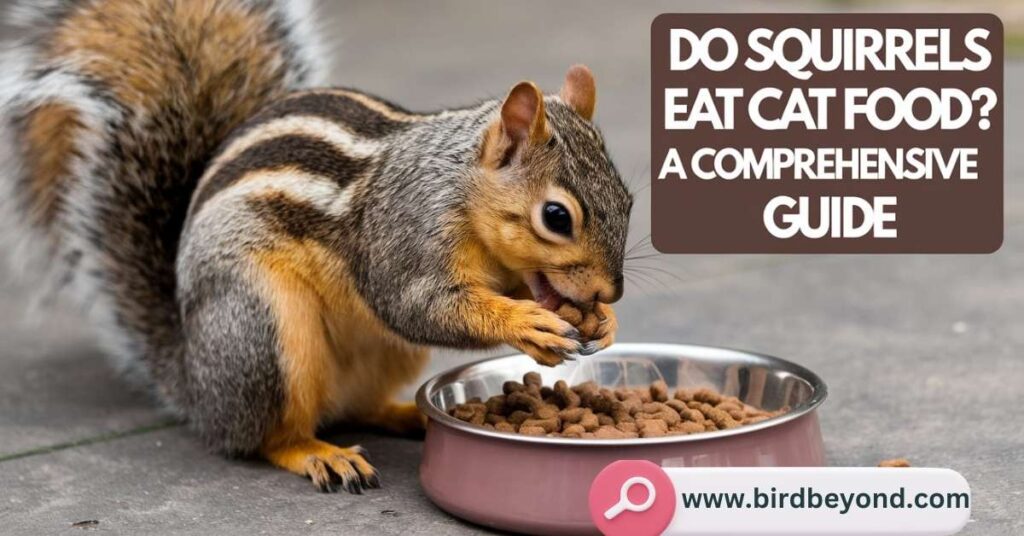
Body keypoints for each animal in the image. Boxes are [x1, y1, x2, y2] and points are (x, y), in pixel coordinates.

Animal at [0, 1, 630, 496]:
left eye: (627, 198)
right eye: (556, 216)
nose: (611, 290)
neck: (460, 188)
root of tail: (196, 383)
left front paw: (602, 324)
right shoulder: (402, 232)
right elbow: (418, 306)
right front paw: (527, 323)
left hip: (382, 355)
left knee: (356, 405)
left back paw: (407, 415)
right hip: (264, 331)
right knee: (265, 435)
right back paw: (317, 453)